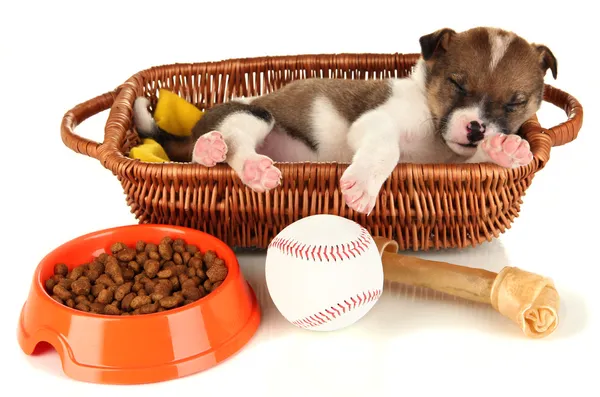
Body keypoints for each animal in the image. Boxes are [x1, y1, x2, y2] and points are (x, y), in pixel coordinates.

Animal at [132, 25, 556, 213]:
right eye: (457, 84)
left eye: (515, 103)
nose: (476, 128)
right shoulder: (375, 123)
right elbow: (385, 151)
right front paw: (365, 184)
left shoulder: (457, 164)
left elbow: (481, 159)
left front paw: (505, 148)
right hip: (256, 113)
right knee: (231, 142)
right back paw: (240, 161)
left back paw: (210, 153)